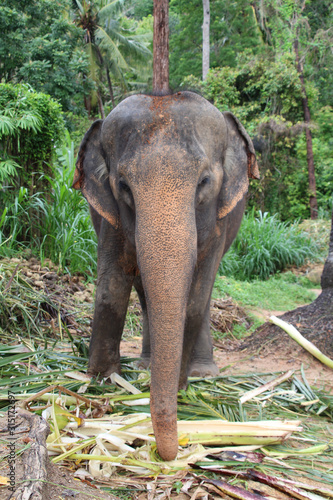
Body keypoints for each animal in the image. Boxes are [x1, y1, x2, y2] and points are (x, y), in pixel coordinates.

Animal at [73, 91, 260, 460]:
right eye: (123, 185)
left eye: (204, 182)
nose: (169, 454)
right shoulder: (109, 214)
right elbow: (112, 286)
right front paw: (102, 381)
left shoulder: (219, 221)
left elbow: (197, 296)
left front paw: (181, 386)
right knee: (143, 293)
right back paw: (145, 366)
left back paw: (202, 372)